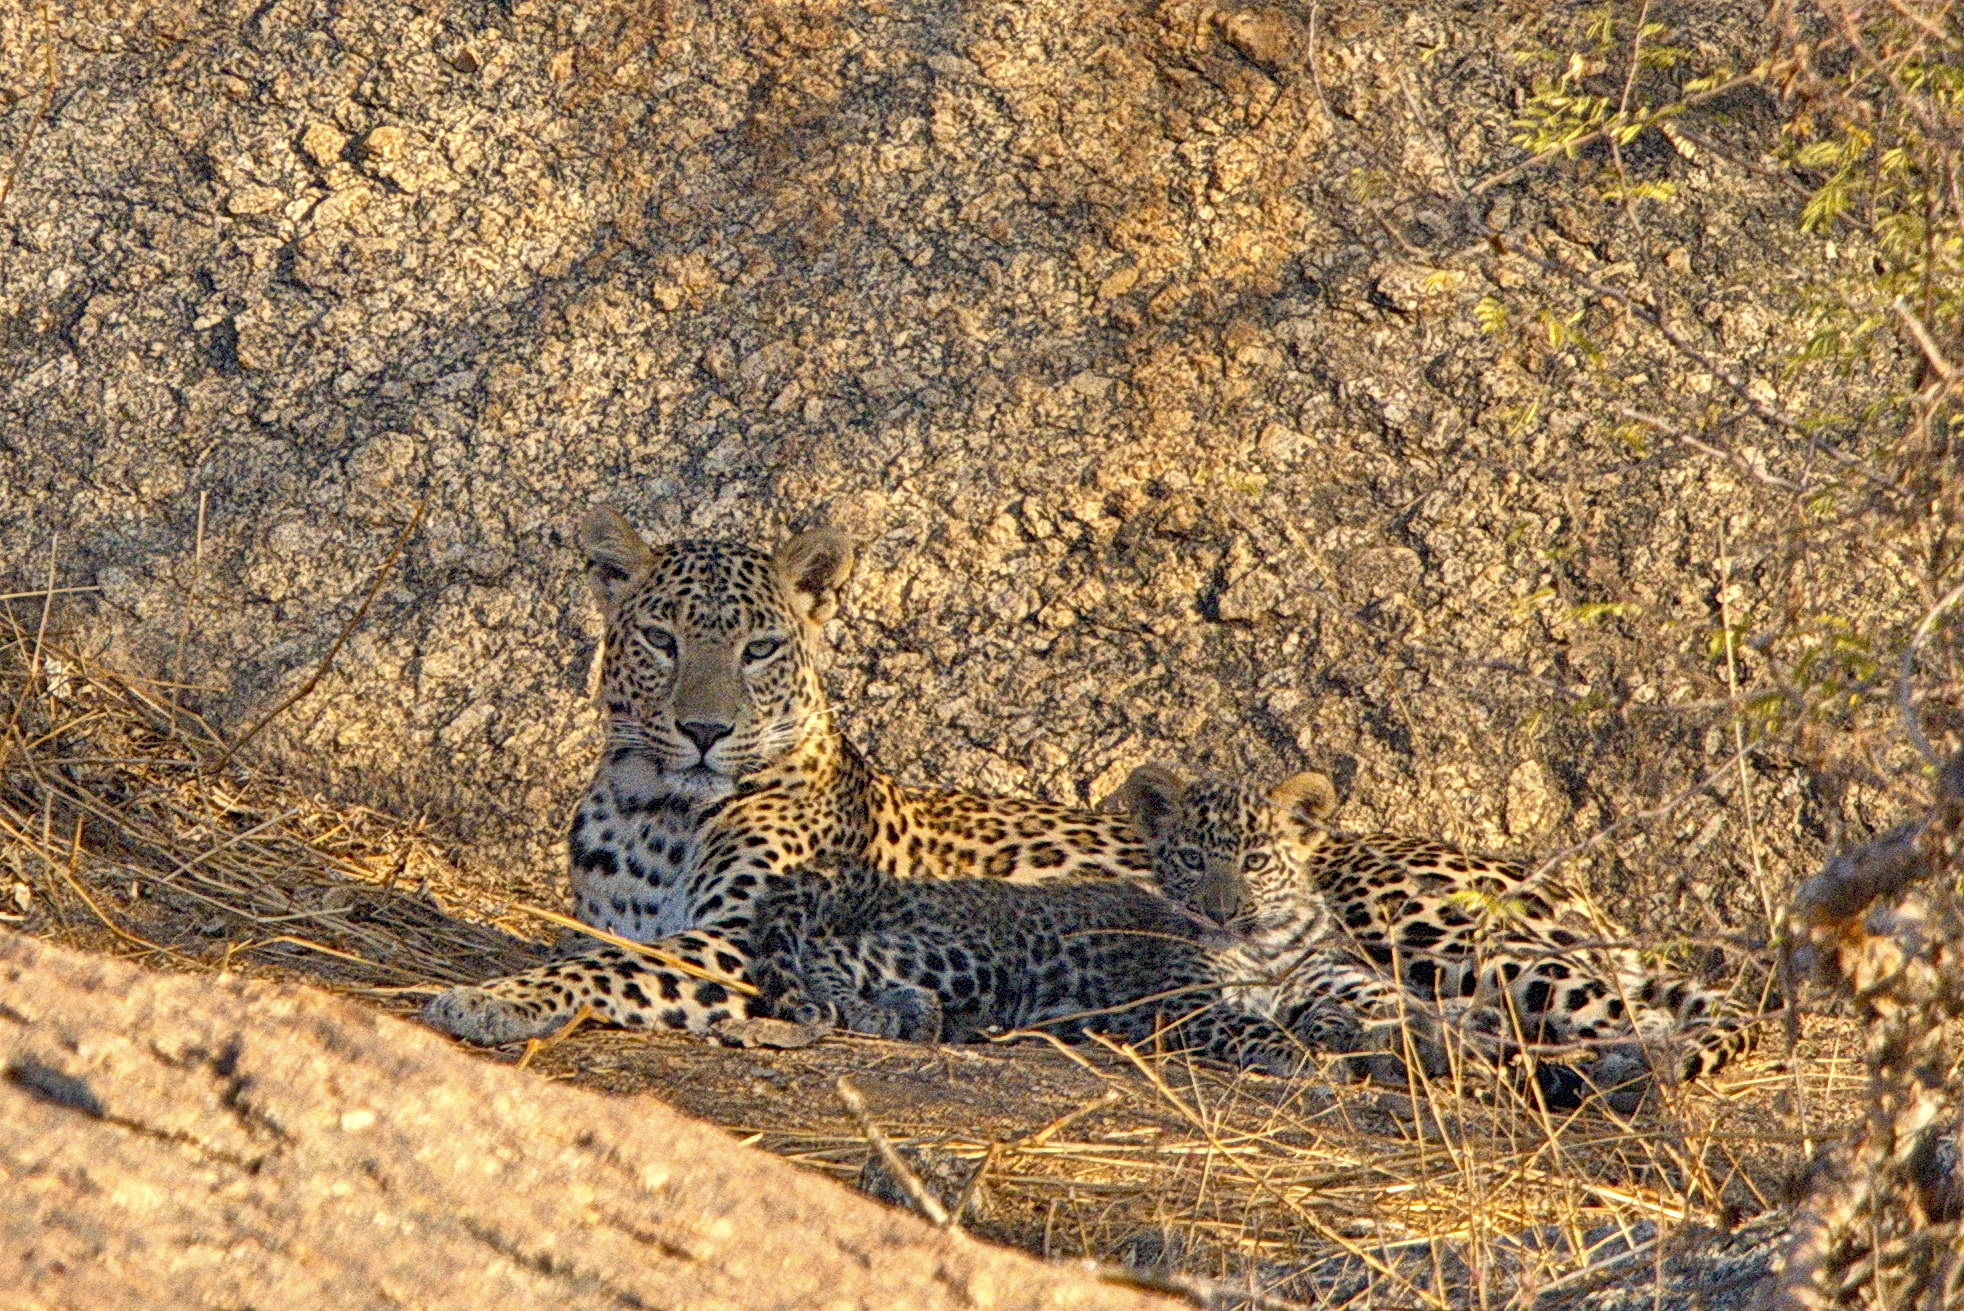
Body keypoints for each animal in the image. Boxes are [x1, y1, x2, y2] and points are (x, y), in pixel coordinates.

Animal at [422, 506, 1146, 1051]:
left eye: (760, 649)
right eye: (661, 640)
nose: (704, 730)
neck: (659, 818)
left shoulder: (749, 935)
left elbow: (615, 964)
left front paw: (490, 999)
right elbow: (599, 949)